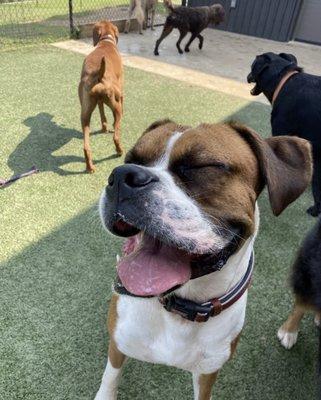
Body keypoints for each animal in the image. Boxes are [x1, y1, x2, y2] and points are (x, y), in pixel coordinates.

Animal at [78, 19, 123, 173]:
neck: (106, 41)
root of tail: (99, 74)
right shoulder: (121, 92)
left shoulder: (99, 102)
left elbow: (102, 114)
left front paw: (104, 128)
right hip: (117, 108)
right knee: (116, 136)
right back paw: (120, 151)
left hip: (85, 114)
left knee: (86, 146)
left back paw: (90, 167)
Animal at [95, 119, 310, 400]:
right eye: (132, 159)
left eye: (201, 166)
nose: (122, 176)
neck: (179, 307)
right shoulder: (118, 344)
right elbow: (110, 377)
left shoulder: (208, 371)